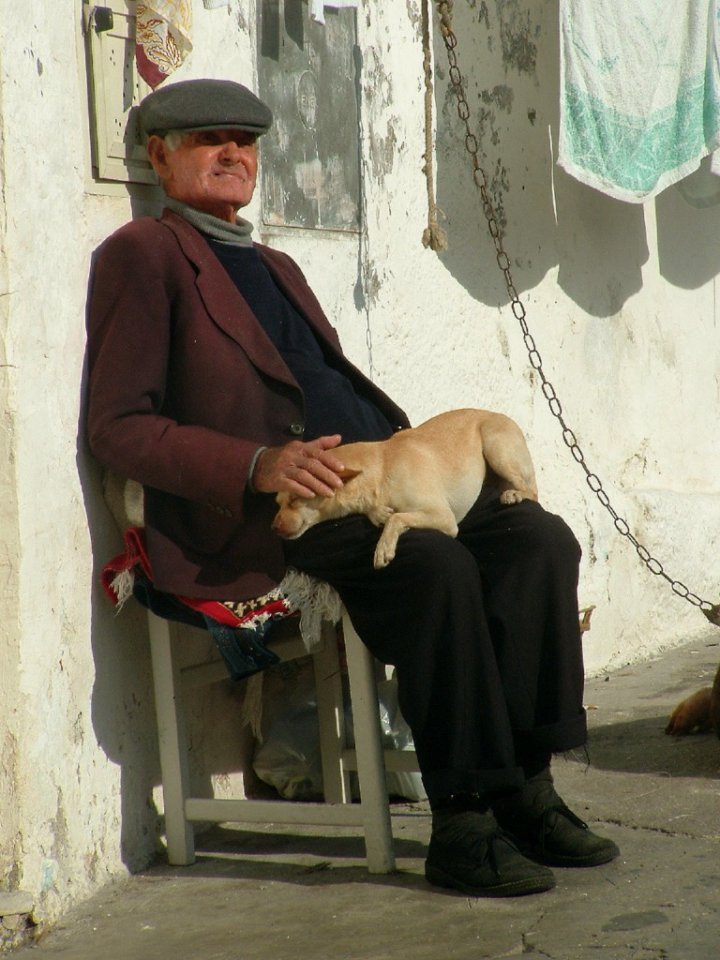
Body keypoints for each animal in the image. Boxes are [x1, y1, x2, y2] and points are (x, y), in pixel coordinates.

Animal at [272, 406, 536, 568]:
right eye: (278, 503)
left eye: (295, 500)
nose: (273, 527)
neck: (381, 470)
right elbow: (389, 515)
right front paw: (378, 514)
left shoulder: (444, 517)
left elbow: (397, 518)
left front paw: (383, 547)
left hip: (496, 449)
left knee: (532, 491)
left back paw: (514, 493)